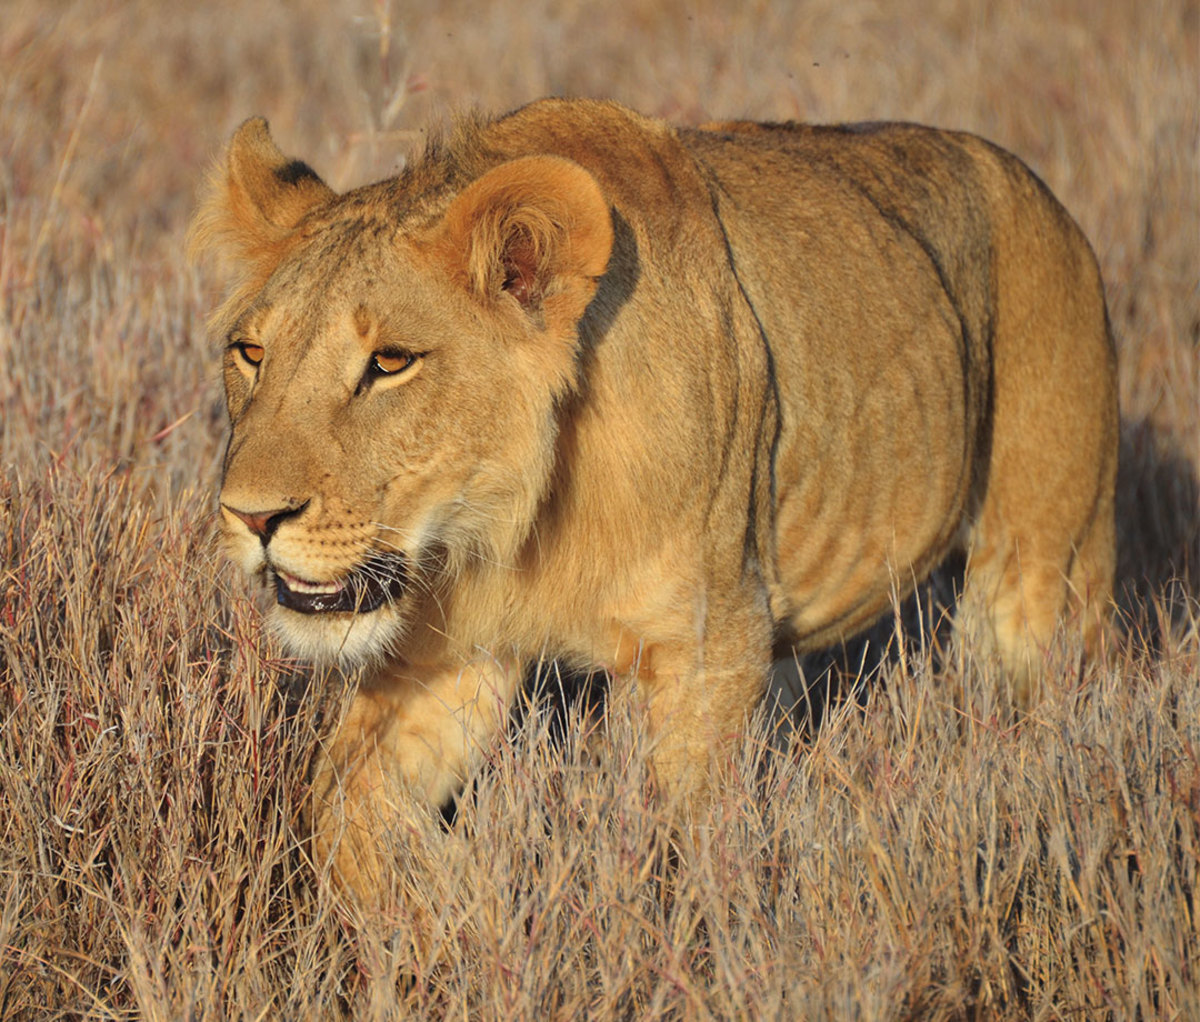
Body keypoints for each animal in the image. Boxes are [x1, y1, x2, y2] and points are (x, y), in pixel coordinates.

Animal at [187, 97, 1113, 902]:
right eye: (251, 353)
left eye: (389, 363)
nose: (251, 517)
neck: (514, 527)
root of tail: (1037, 188)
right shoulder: (447, 657)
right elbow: (343, 807)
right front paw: (453, 909)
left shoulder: (704, 644)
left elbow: (679, 846)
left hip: (1042, 570)